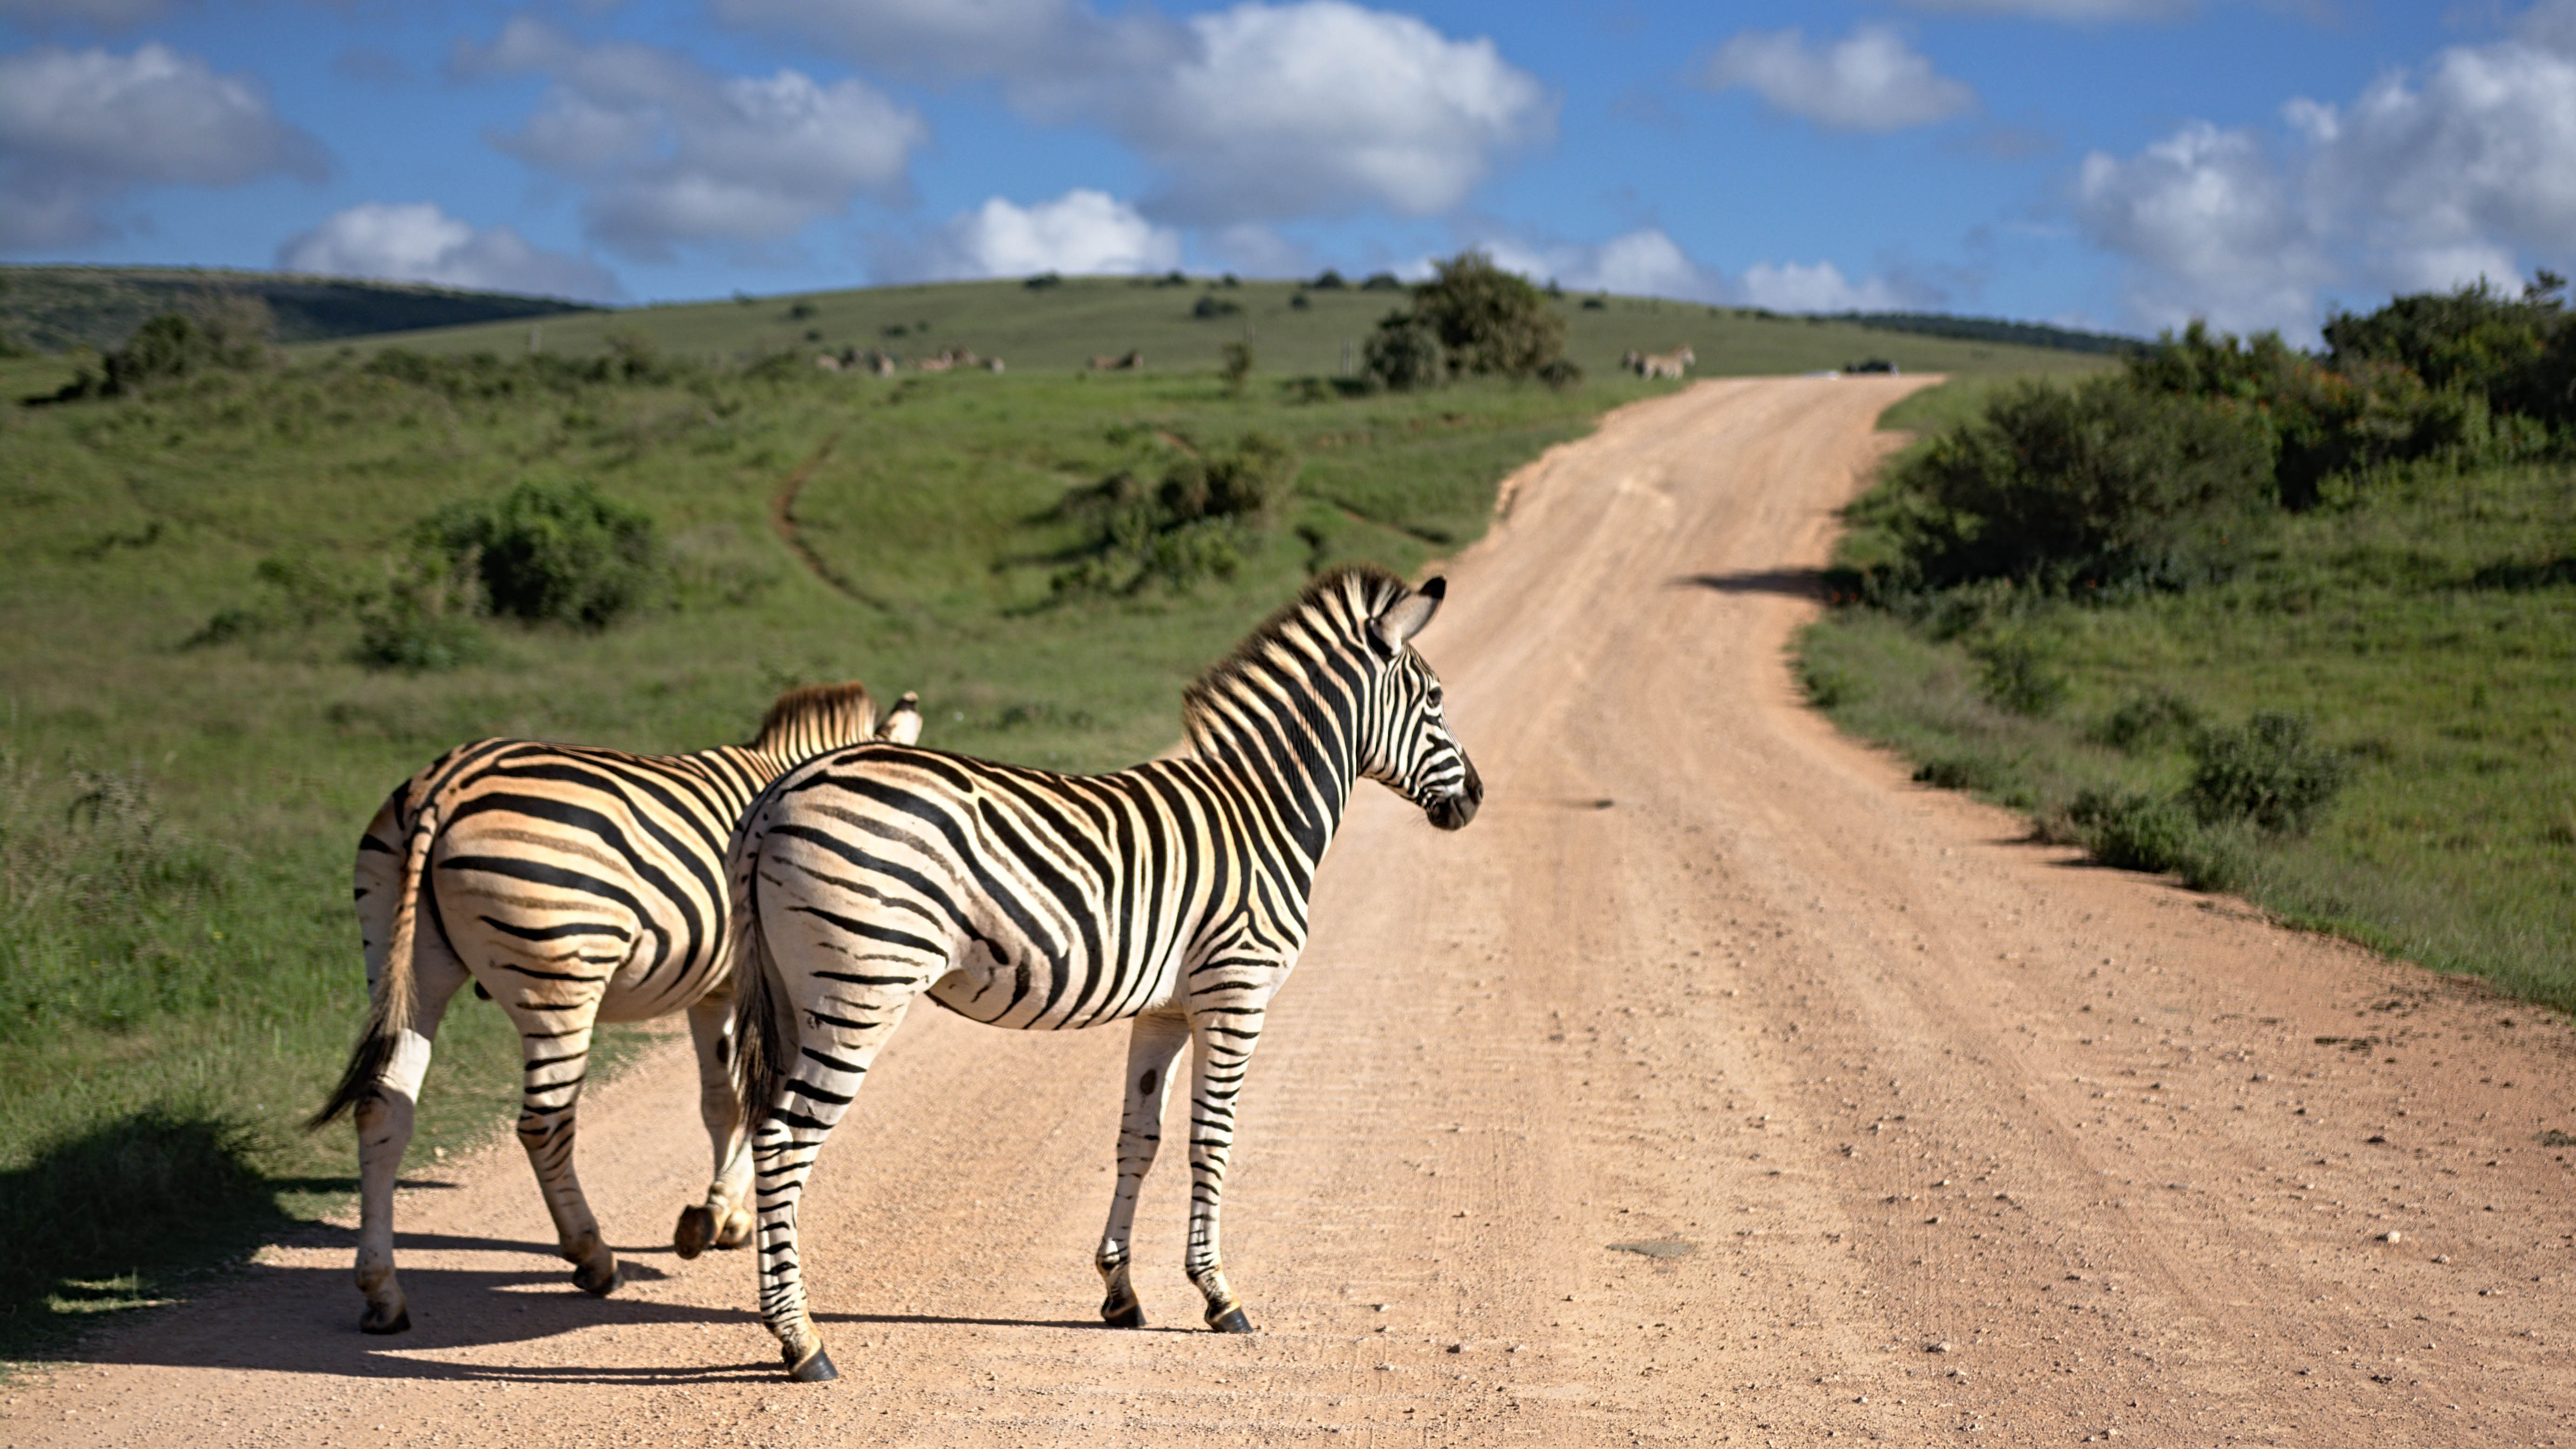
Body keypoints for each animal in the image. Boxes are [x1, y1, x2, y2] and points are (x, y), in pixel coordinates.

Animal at [307, 682, 923, 1336]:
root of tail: (444, 784)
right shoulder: (755, 983)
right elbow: (753, 1101)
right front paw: (719, 1211)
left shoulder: (716, 989)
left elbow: (722, 1101)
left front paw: (724, 1216)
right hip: (559, 975)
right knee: (544, 1122)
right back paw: (593, 1255)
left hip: (403, 961)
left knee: (383, 1108)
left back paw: (383, 1291)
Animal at [724, 566, 1481, 1381]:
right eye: (1434, 699)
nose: (1474, 799)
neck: (1264, 811)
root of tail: (779, 793)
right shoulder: (1236, 992)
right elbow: (1212, 1139)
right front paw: (1219, 1296)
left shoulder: (1165, 1010)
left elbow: (1138, 1137)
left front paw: (1120, 1293)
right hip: (861, 990)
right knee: (784, 1140)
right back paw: (801, 1340)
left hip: (797, 994)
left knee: (766, 1131)